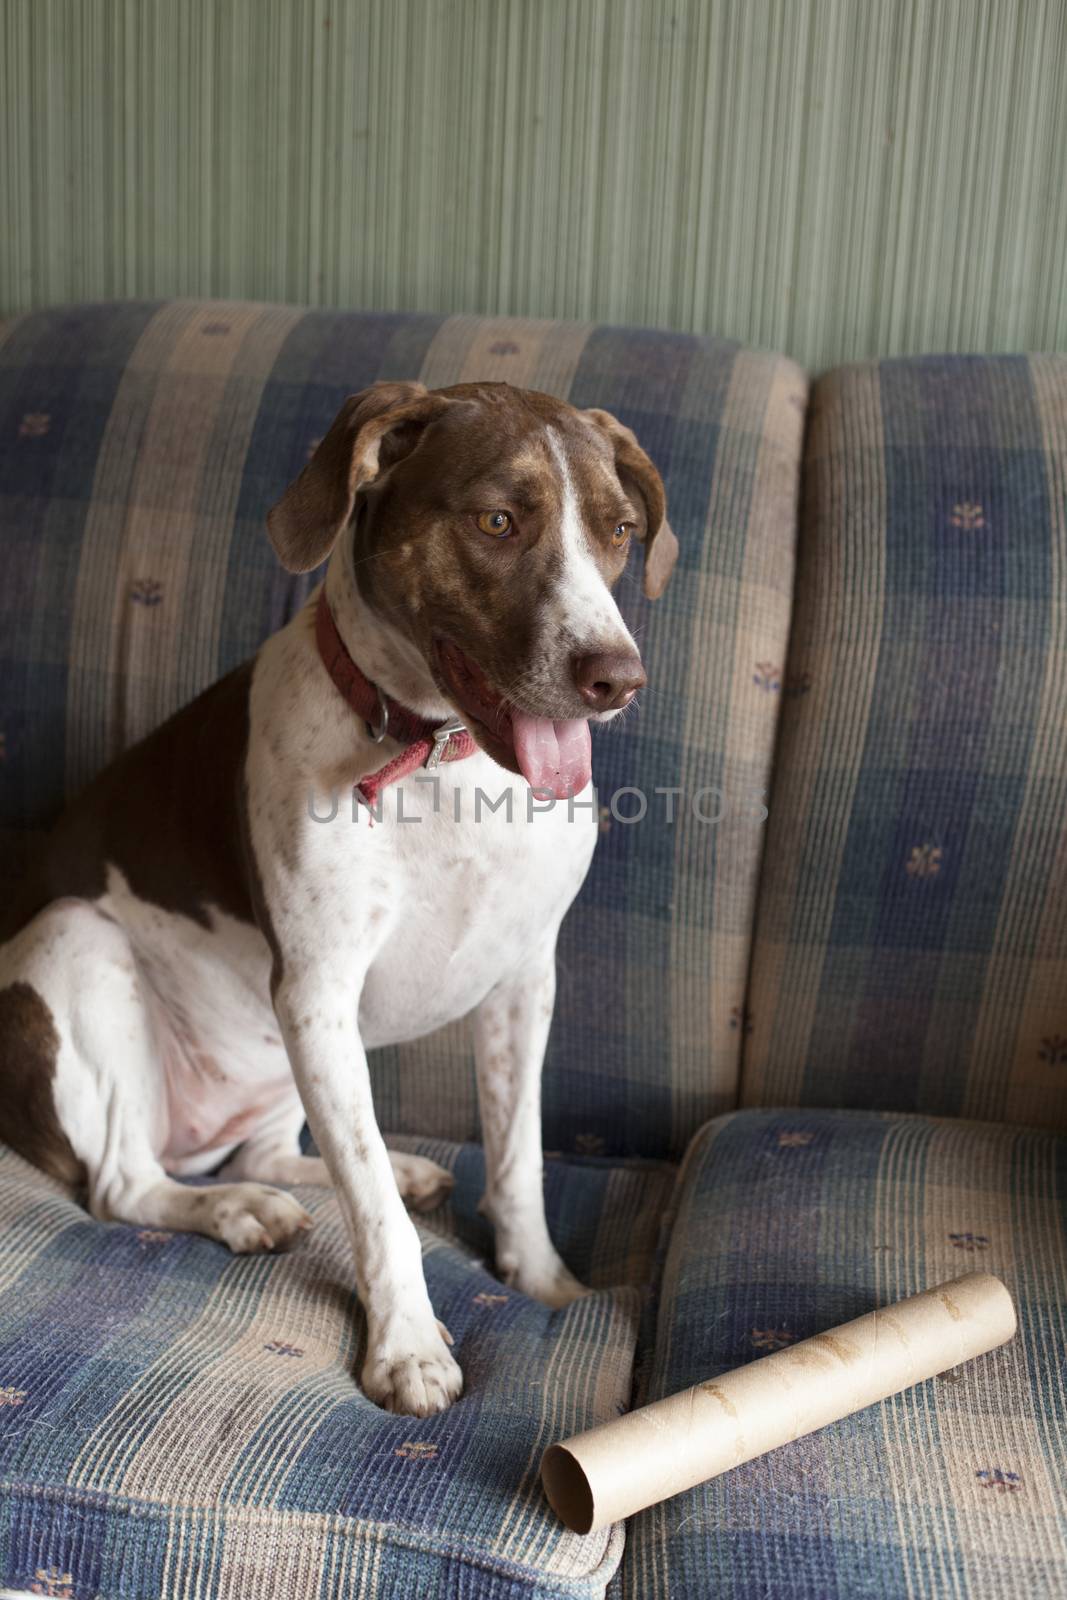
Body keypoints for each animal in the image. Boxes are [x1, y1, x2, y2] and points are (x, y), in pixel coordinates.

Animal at [0, 380, 675, 1420]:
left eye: (620, 529)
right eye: (496, 520)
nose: (617, 677)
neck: (439, 759)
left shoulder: (521, 981)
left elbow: (515, 1157)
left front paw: (541, 1281)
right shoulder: (318, 990)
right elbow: (373, 1216)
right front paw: (407, 1347)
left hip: (275, 1051)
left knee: (267, 1149)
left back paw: (366, 1169)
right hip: (82, 947)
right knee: (124, 1183)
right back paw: (234, 1208)